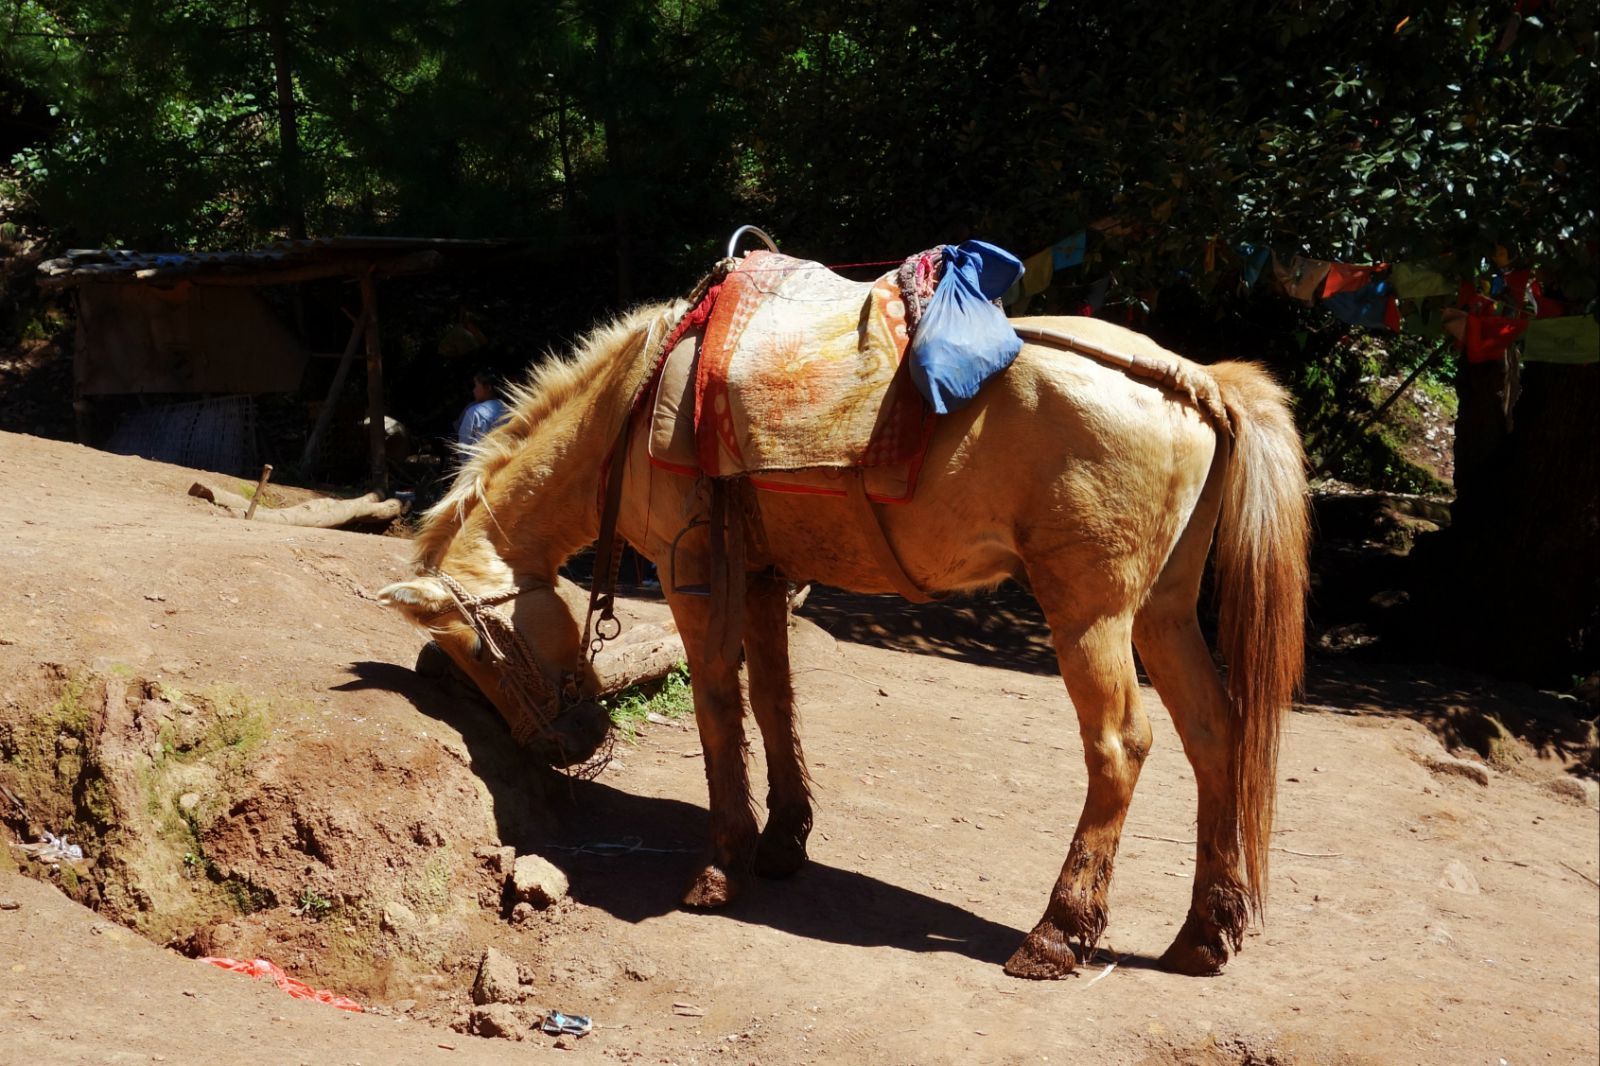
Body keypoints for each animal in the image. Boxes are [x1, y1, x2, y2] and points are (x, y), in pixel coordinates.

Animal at [380, 296, 1305, 973]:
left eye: (478, 649)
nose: (563, 745)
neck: (636, 406)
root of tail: (1194, 379)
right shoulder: (761, 576)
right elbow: (773, 699)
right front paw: (784, 840)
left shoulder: (693, 575)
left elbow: (717, 707)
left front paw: (723, 865)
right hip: (1163, 611)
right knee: (1216, 734)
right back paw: (1204, 933)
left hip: (1091, 615)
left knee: (1120, 746)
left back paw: (1057, 931)